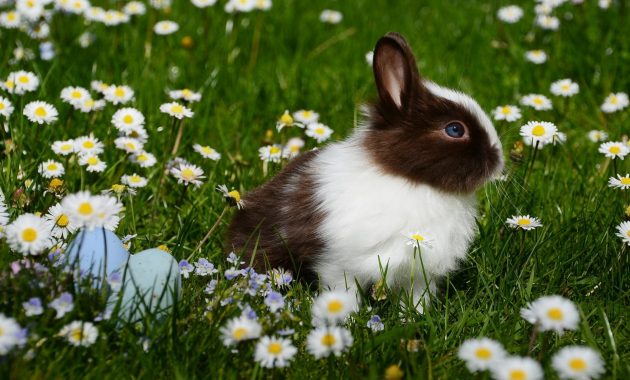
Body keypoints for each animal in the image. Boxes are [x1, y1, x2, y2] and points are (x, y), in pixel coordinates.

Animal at [230, 32, 506, 312]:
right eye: (454, 129)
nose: (498, 158)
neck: (411, 181)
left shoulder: (419, 274)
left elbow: (415, 298)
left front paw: (412, 317)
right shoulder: (338, 265)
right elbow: (343, 293)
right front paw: (346, 317)